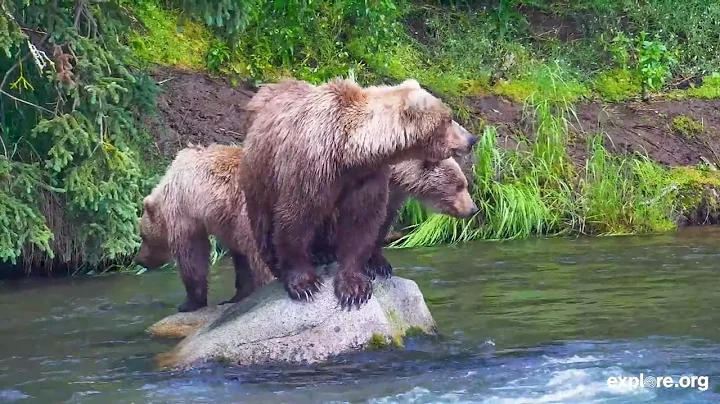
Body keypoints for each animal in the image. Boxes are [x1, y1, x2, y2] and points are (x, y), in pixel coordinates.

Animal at [134, 143, 275, 312]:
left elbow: (192, 256)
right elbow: (241, 258)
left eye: (143, 236)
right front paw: (236, 296)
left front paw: (188, 303)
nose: (139, 260)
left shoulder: (184, 215)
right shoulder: (231, 224)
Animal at [311, 155, 479, 279]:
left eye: (464, 184)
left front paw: (381, 264)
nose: (473, 209)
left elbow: (382, 223)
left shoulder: (393, 197)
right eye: (458, 186)